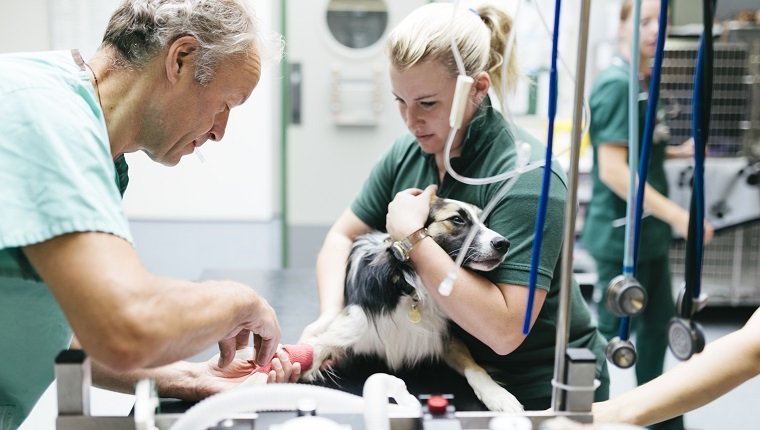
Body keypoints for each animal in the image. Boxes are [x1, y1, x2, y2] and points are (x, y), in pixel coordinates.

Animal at [302, 197, 524, 412]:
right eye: (457, 219)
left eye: (485, 222)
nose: (504, 243)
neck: (411, 288)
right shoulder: (352, 326)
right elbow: (315, 348)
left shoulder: (444, 335)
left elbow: (475, 367)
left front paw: (498, 395)